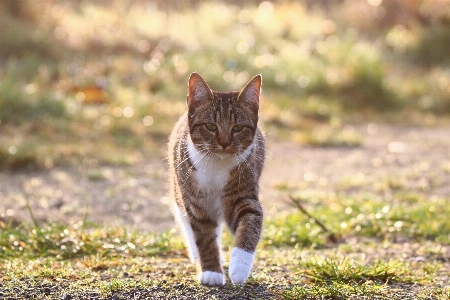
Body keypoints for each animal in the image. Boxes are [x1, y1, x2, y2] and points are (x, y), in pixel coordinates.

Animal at [167, 72, 266, 286]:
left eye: (238, 127)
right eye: (211, 126)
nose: (224, 142)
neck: (216, 165)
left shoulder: (244, 194)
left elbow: (249, 223)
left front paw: (239, 268)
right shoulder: (196, 202)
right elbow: (203, 236)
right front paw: (211, 272)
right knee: (186, 219)